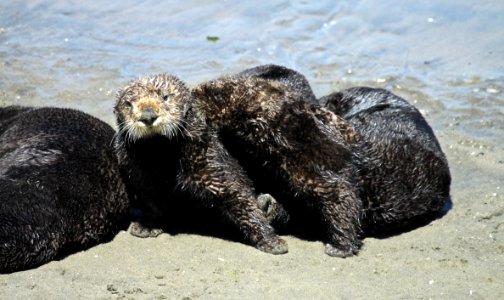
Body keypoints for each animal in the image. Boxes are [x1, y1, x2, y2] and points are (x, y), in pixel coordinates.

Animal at [113, 74, 362, 256]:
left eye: (165, 97)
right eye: (128, 104)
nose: (148, 115)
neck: (160, 152)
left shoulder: (206, 153)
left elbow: (236, 191)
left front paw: (272, 242)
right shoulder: (138, 170)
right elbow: (151, 201)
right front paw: (146, 226)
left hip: (295, 145)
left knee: (336, 190)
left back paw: (341, 244)